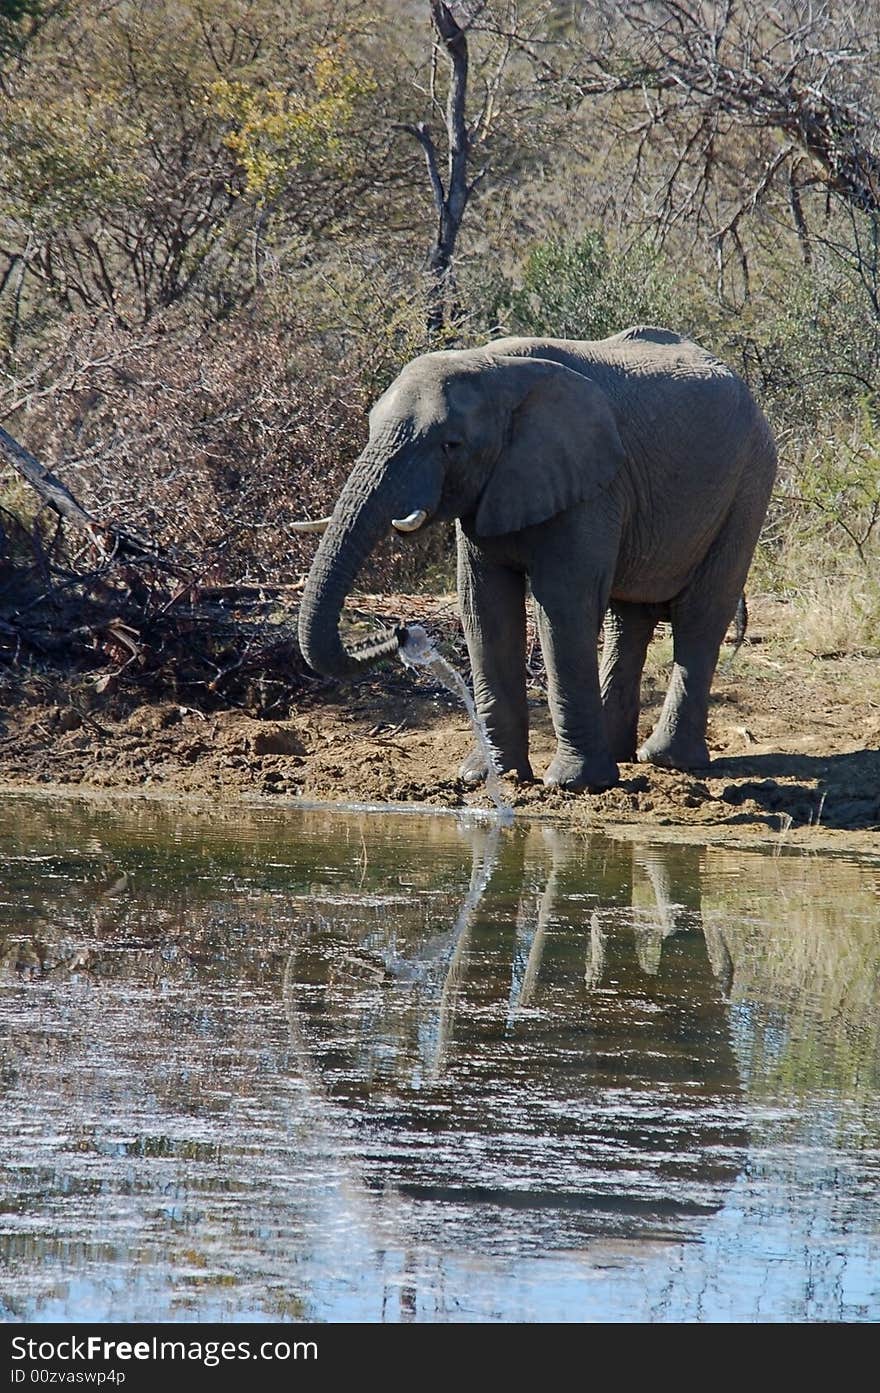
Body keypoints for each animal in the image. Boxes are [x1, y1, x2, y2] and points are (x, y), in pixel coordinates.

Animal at [297, 318, 774, 791]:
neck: (491, 366)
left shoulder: (590, 484)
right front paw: (486, 774)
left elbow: (562, 606)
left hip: (748, 485)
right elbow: (483, 608)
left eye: (451, 445)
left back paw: (667, 760)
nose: (399, 630)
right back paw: (622, 754)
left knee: (700, 615)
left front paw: (574, 783)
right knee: (628, 619)